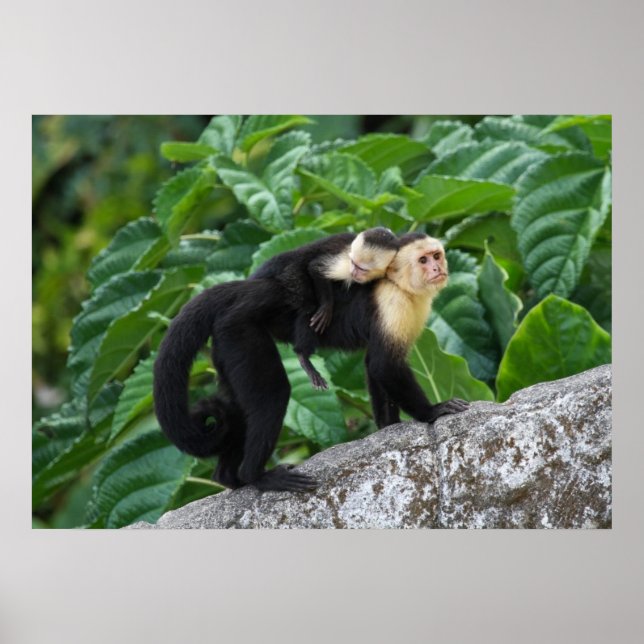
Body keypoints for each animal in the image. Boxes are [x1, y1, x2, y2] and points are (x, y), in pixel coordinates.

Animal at [251, 227, 399, 390]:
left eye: (362, 268)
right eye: (353, 263)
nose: (353, 272)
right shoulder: (345, 261)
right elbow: (316, 268)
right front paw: (327, 307)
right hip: (291, 274)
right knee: (308, 305)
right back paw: (303, 355)